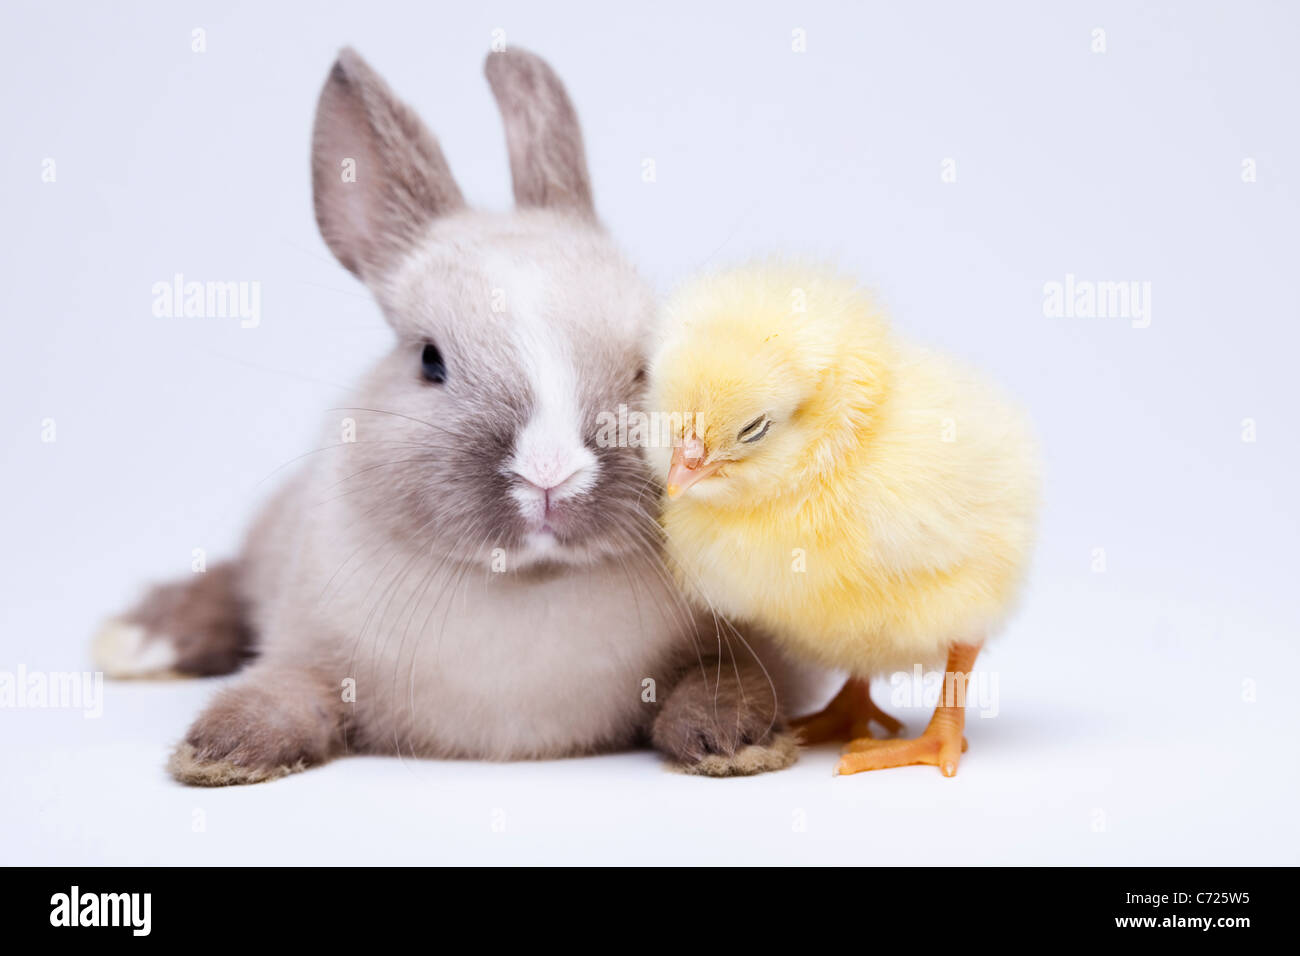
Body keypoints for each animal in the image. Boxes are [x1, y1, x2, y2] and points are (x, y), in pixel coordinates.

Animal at [91, 46, 802, 784]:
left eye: (643, 366)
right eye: (430, 361)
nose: (550, 473)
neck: (526, 581)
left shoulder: (749, 647)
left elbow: (729, 678)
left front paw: (732, 743)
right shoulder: (307, 644)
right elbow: (285, 691)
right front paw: (221, 750)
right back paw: (138, 643)